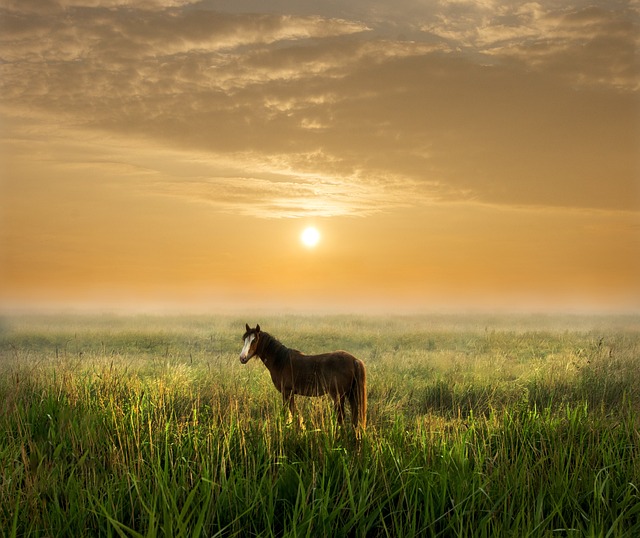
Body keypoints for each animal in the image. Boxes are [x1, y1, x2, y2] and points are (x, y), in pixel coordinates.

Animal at [240, 320, 368, 430]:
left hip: (338, 395)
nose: (242, 358)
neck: (281, 361)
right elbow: (293, 413)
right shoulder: (290, 393)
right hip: (351, 394)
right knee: (355, 415)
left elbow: (289, 412)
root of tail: (354, 360)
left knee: (341, 417)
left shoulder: (287, 392)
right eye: (244, 339)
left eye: (254, 340)